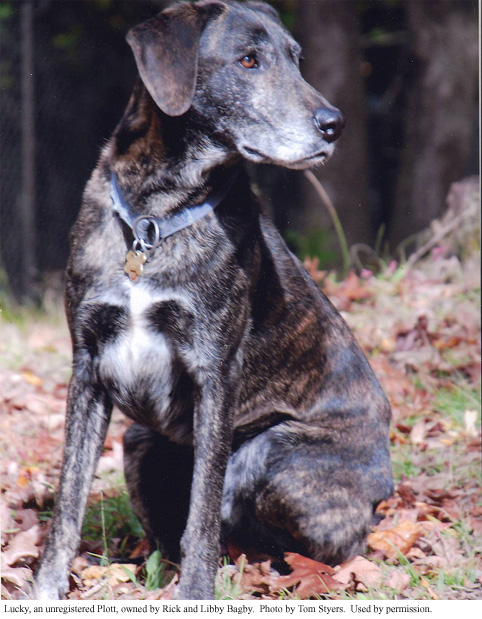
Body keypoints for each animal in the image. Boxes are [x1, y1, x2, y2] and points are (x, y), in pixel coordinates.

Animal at [35, 0, 394, 600]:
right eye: (248, 60)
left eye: (296, 60)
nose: (334, 124)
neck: (155, 218)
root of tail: (385, 489)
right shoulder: (87, 368)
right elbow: (68, 497)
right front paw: (43, 589)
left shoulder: (213, 374)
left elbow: (201, 513)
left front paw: (198, 593)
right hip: (139, 440)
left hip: (280, 459)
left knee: (305, 539)